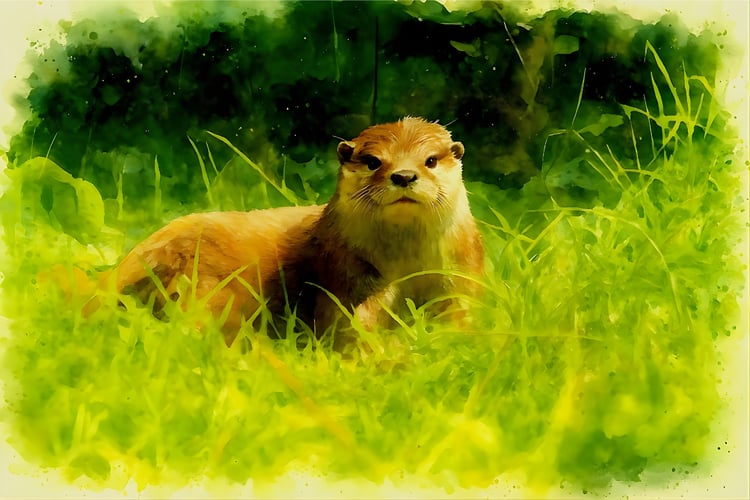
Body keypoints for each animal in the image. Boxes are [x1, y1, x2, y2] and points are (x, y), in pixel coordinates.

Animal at [110, 117, 484, 344]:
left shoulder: (461, 272)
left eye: (430, 160)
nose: (404, 175)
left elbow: (460, 316)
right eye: (373, 161)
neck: (407, 264)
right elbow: (350, 324)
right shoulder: (347, 272)